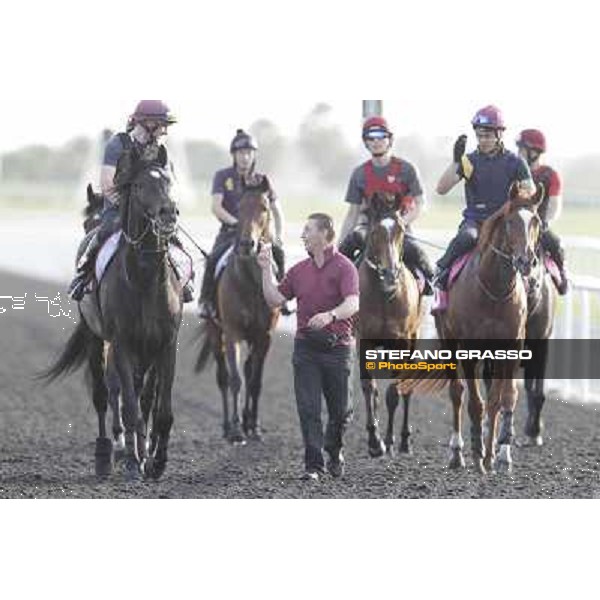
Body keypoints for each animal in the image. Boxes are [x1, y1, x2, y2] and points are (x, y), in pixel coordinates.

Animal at [42, 159, 183, 478]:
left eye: (169, 181)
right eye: (140, 185)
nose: (168, 212)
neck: (144, 279)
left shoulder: (165, 344)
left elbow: (161, 410)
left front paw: (156, 462)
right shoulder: (121, 343)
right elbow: (128, 405)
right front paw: (132, 461)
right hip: (96, 339)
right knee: (102, 395)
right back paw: (106, 455)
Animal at [193, 175, 280, 446]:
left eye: (264, 208)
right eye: (239, 208)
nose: (246, 244)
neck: (252, 283)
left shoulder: (264, 336)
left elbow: (255, 381)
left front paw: (255, 426)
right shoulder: (232, 333)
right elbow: (235, 380)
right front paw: (236, 431)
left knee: (250, 370)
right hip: (215, 331)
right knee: (222, 376)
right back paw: (227, 425)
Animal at [358, 195, 424, 458]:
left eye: (401, 230)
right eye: (375, 231)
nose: (389, 273)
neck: (385, 294)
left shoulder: (402, 342)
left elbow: (395, 392)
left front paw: (390, 440)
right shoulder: (363, 340)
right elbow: (369, 387)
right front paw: (375, 441)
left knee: (406, 388)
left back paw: (405, 440)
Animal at [434, 185, 548, 476]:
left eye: (536, 221)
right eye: (510, 222)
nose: (526, 261)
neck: (494, 289)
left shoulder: (512, 345)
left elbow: (504, 397)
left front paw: (500, 454)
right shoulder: (469, 348)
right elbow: (476, 402)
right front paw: (477, 454)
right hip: (448, 340)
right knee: (457, 393)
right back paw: (458, 452)